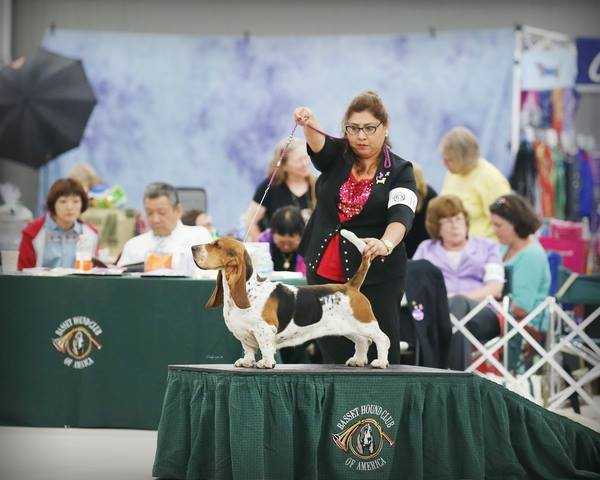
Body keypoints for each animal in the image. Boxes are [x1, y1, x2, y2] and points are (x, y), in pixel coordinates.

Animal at [191, 238, 390, 370]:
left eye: (217, 245)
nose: (193, 247)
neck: (248, 288)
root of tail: (350, 286)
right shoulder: (244, 335)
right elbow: (248, 349)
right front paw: (246, 362)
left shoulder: (265, 329)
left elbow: (265, 347)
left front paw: (266, 363)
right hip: (350, 328)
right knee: (363, 342)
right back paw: (358, 360)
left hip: (365, 323)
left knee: (382, 339)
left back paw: (380, 362)